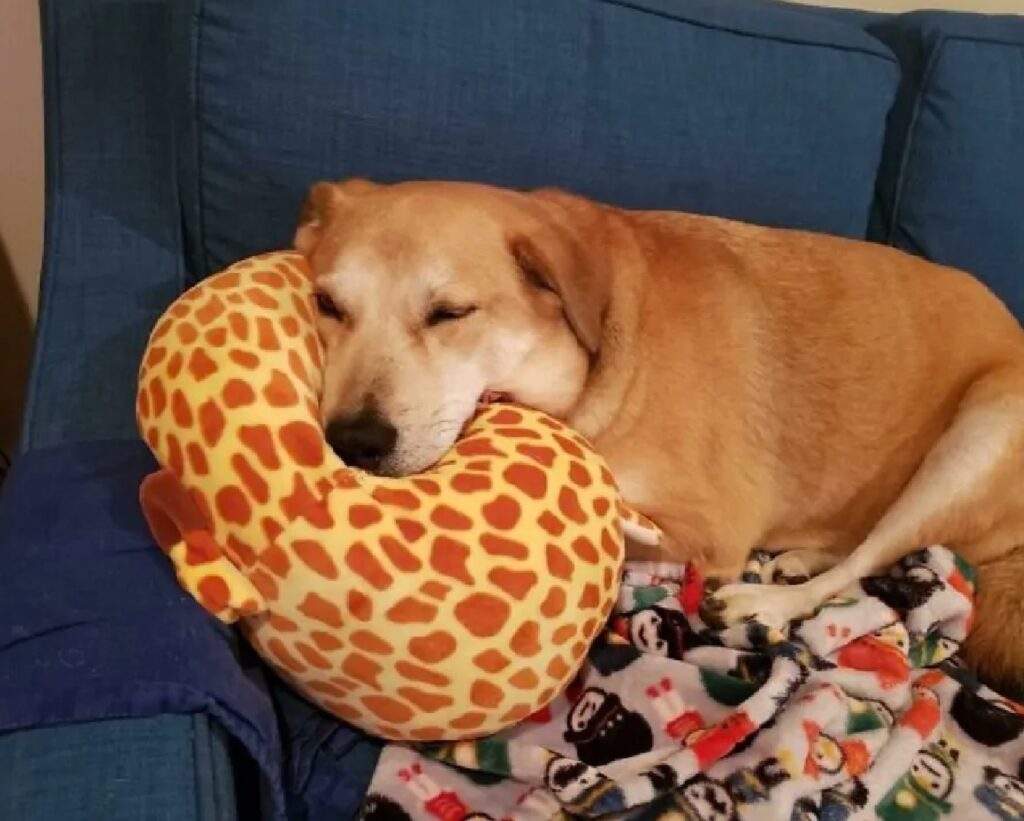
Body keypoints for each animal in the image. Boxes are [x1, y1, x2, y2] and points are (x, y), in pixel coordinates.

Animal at [292, 181, 1024, 692]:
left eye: (450, 313)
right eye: (328, 305)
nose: (353, 442)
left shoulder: (711, 527)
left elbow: (626, 527)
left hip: (984, 425)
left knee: (869, 555)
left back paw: (772, 597)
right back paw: (801, 556)